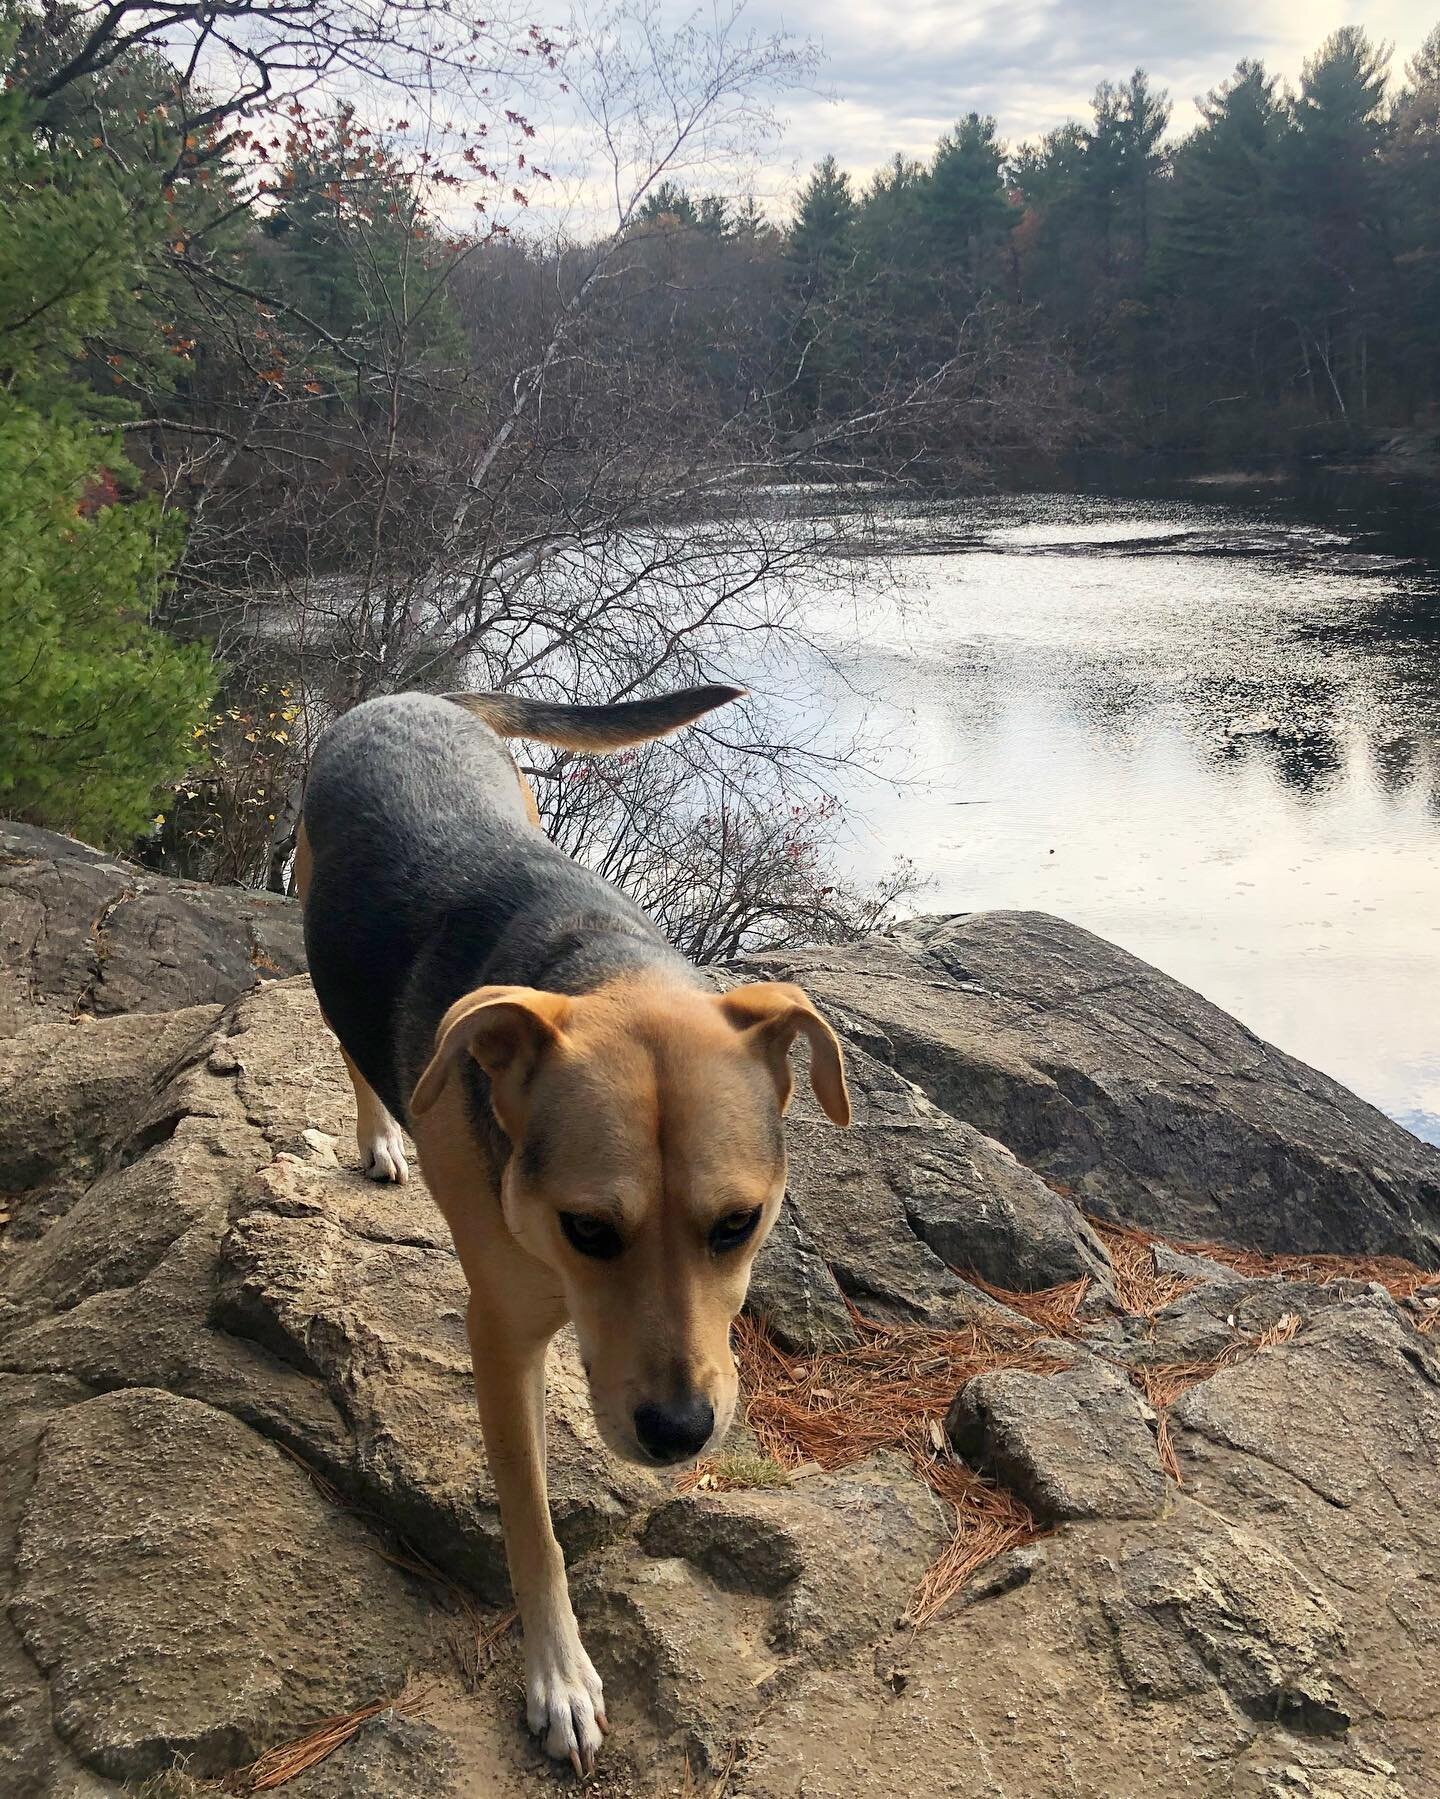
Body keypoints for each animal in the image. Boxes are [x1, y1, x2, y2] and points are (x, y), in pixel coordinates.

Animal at [297, 683, 849, 1770]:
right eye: (587, 1228)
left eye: (739, 1223)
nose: (680, 1433)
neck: (601, 966)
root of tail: (408, 693)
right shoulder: (501, 1334)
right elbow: (532, 1521)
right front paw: (558, 1676)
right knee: (346, 1037)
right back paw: (379, 1133)